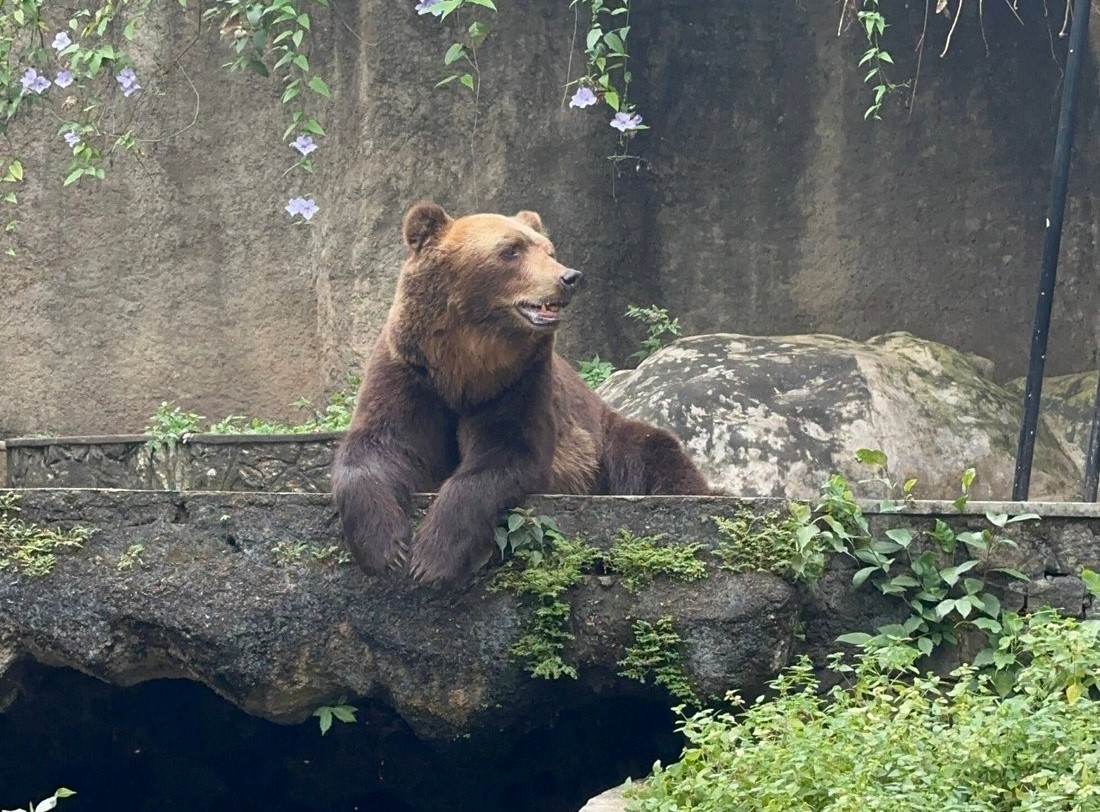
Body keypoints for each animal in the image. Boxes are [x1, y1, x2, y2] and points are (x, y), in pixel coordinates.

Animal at [332, 202, 711, 586]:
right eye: (510, 250)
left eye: (549, 251)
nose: (570, 277)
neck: (463, 365)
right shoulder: (410, 372)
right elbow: (380, 445)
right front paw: (385, 549)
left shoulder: (517, 382)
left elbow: (506, 450)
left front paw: (432, 557)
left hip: (605, 440)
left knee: (650, 449)